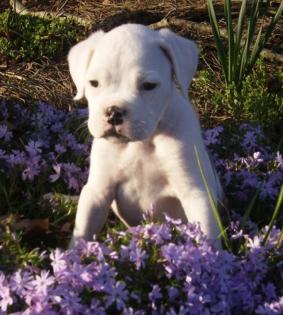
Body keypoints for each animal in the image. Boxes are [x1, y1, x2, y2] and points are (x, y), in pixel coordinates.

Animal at [69, 23, 224, 248]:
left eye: (149, 86)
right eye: (94, 83)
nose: (114, 112)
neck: (141, 144)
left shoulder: (196, 193)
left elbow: (207, 236)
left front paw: (209, 256)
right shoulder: (98, 192)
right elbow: (83, 231)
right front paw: (73, 256)